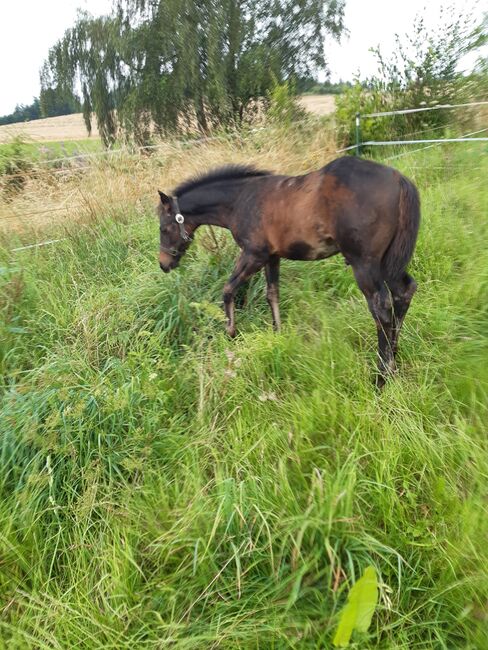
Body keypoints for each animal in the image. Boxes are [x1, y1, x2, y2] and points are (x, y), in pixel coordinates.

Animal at [157, 154, 420, 382]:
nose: (164, 264)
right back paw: (394, 355)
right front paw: (278, 335)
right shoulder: (272, 257)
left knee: (381, 308)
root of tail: (399, 179)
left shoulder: (254, 254)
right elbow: (272, 294)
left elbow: (228, 289)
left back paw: (382, 376)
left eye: (163, 227)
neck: (240, 200)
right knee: (404, 292)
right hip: (388, 263)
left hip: (365, 264)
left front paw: (231, 332)